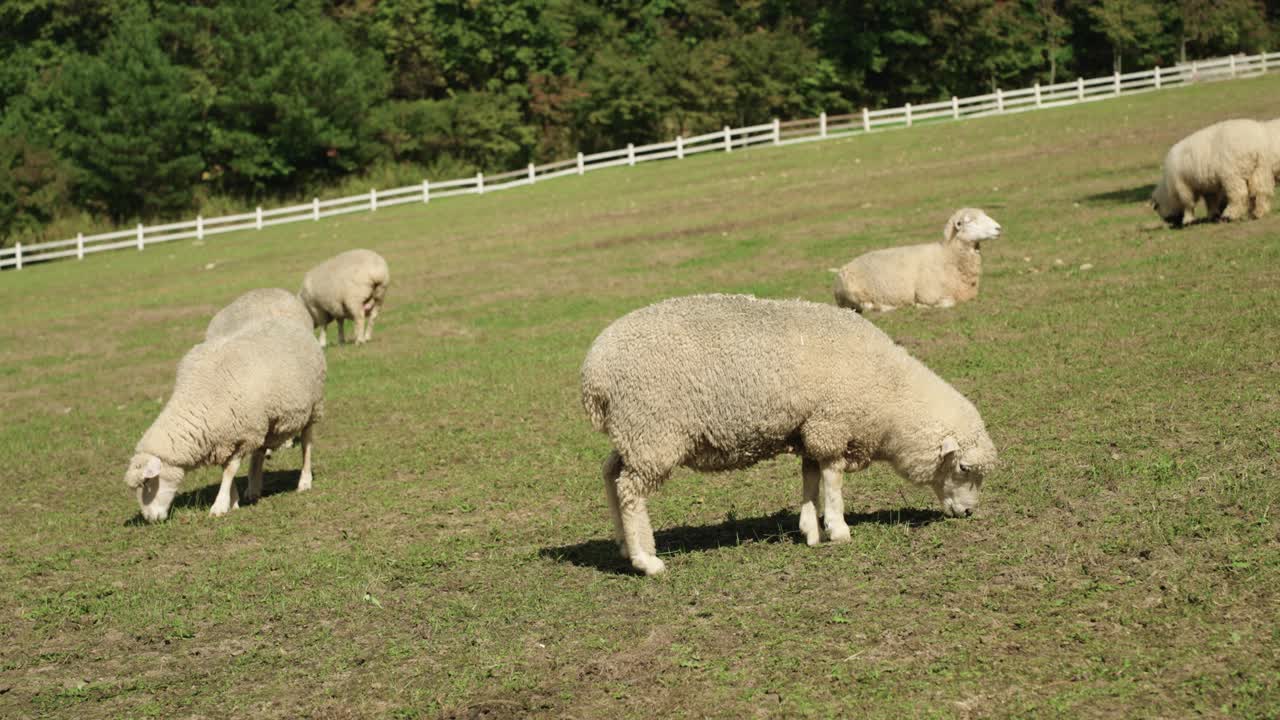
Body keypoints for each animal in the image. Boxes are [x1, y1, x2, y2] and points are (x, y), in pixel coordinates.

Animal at [123, 318, 326, 522]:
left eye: (146, 482)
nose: (150, 519)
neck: (199, 397)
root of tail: (287, 321)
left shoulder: (242, 436)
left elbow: (230, 470)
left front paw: (219, 505)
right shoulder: (222, 438)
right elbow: (226, 469)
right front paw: (233, 501)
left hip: (312, 407)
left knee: (306, 444)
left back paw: (304, 481)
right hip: (265, 420)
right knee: (259, 452)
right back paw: (253, 488)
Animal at [580, 293, 997, 576]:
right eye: (963, 467)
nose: (968, 512)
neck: (890, 397)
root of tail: (593, 373)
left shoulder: (809, 428)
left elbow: (810, 478)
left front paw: (810, 529)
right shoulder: (831, 423)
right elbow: (832, 478)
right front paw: (838, 529)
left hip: (633, 436)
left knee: (610, 473)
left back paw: (623, 545)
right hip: (653, 433)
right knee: (631, 491)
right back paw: (646, 560)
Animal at [831, 208, 1002, 313]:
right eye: (971, 221)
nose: (999, 228)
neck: (946, 256)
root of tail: (843, 268)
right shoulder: (929, 295)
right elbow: (947, 303)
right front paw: (920, 306)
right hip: (855, 293)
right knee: (866, 306)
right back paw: (886, 307)